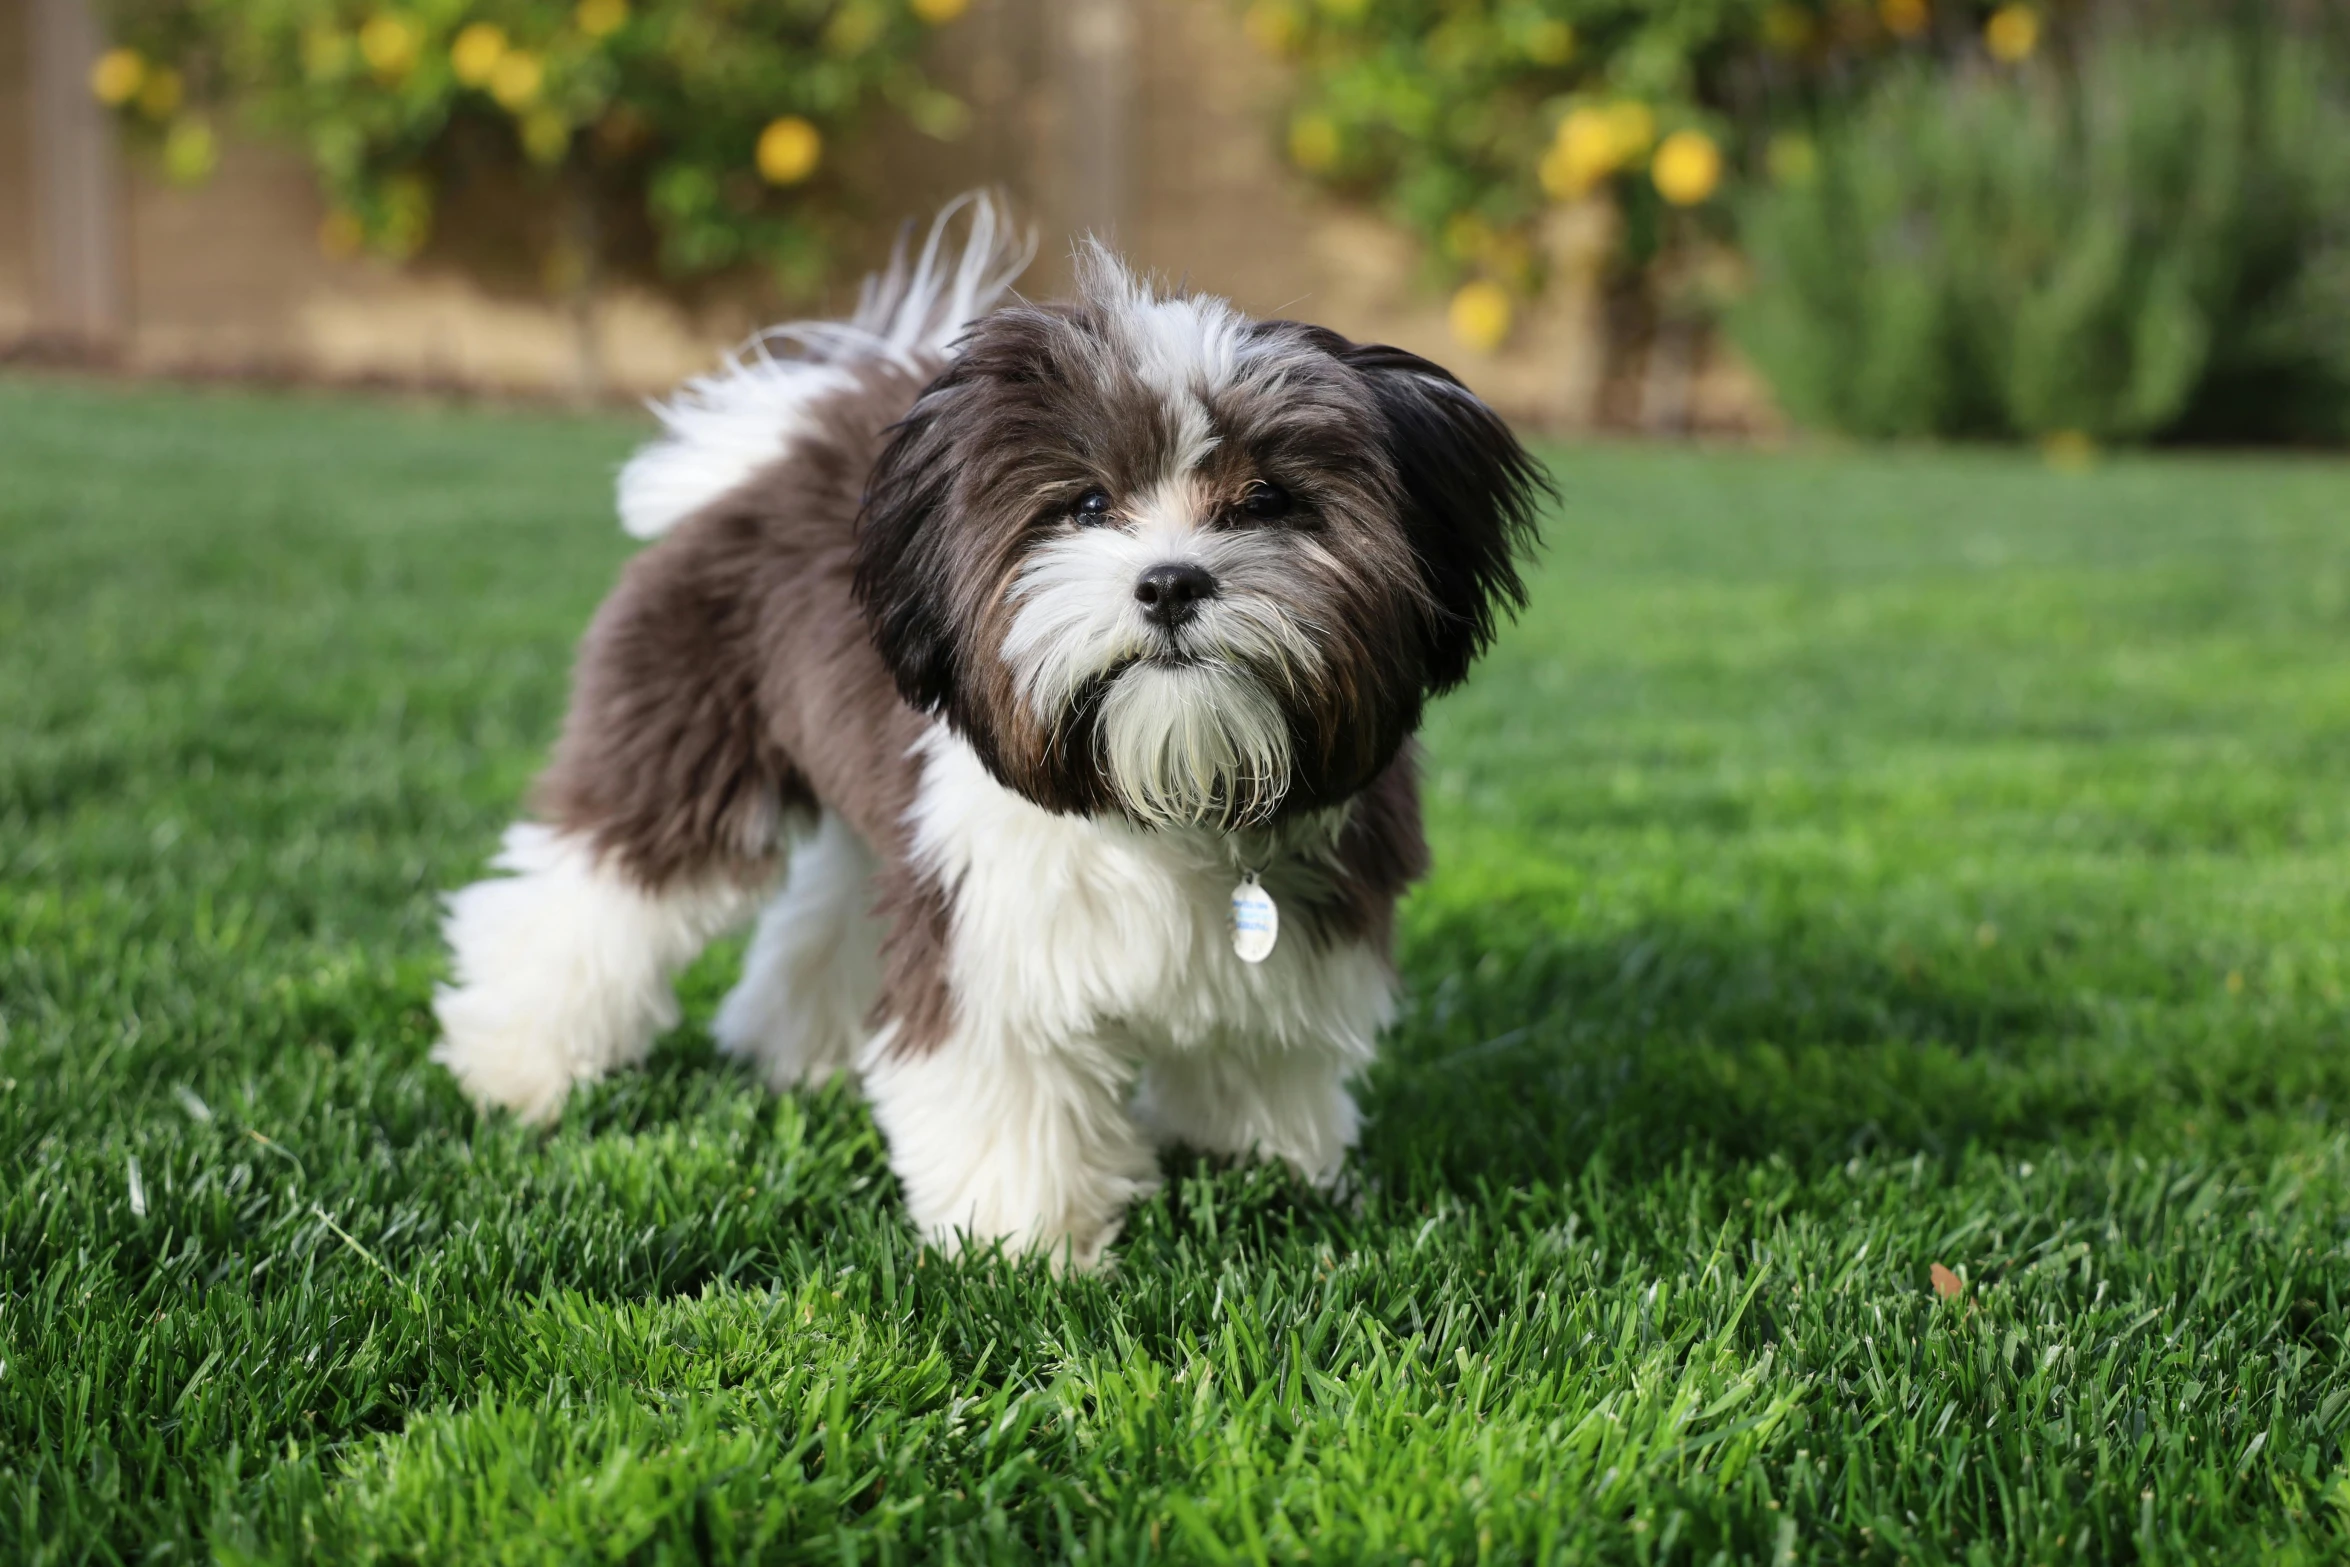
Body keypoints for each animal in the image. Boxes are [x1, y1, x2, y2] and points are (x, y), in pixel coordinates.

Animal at [434, 199, 1550, 1278]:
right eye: (1088, 503)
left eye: (1267, 498)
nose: (1171, 581)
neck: (1167, 798)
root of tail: (790, 448)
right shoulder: (993, 935)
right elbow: (1009, 1094)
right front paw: (1026, 1246)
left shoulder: (1300, 936)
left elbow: (1254, 1062)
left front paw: (1262, 1179)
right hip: (681, 727)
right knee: (590, 888)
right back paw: (513, 1065)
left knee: (826, 906)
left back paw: (794, 1051)